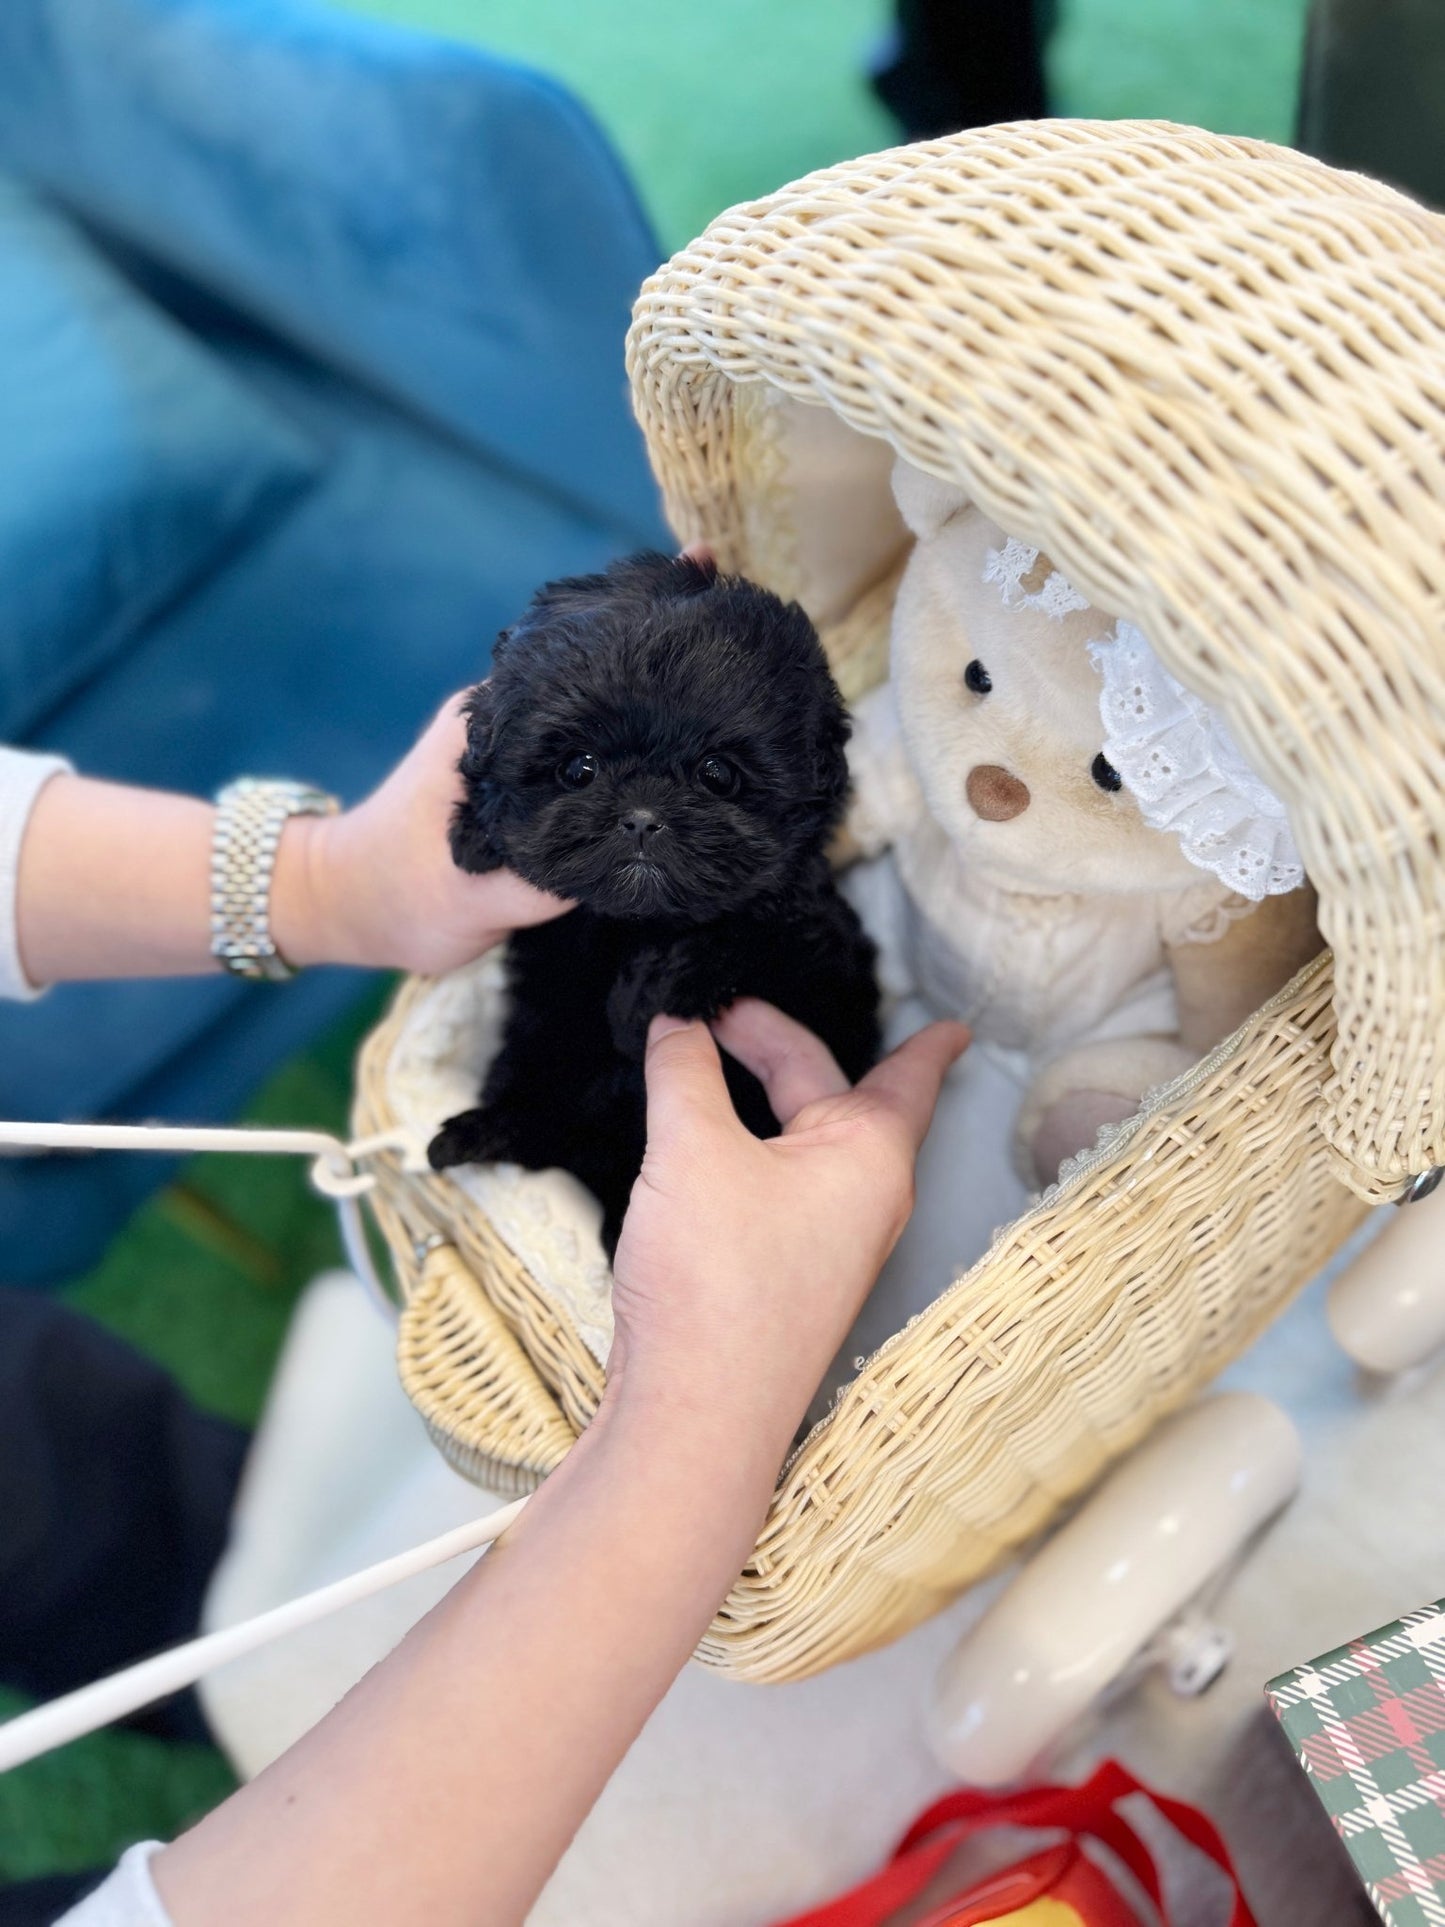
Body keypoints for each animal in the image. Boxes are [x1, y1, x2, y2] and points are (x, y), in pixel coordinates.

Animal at [427, 551, 882, 1256]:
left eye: (718, 774)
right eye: (579, 769)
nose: (642, 817)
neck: (632, 925)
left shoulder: (819, 950)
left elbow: (751, 928)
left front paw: (649, 990)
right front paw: (472, 833)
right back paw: (486, 1130)